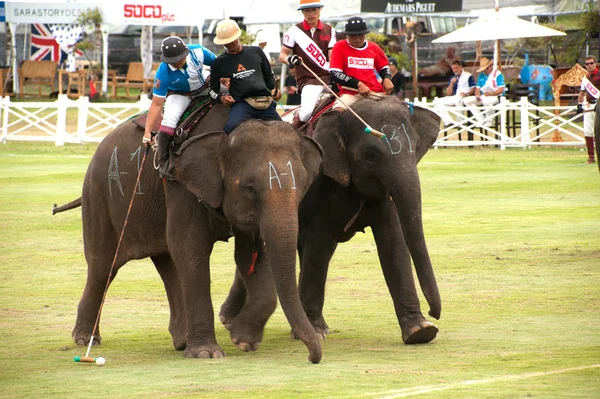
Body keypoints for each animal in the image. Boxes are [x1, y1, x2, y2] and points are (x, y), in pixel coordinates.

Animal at [55, 104, 326, 366]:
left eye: (303, 186)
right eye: (250, 188)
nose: (312, 358)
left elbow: (251, 254)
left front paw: (242, 340)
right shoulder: (180, 184)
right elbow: (190, 248)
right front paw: (207, 354)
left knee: (167, 263)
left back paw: (181, 339)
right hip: (99, 193)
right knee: (104, 266)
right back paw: (86, 340)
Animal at [220, 96, 440, 346]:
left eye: (415, 147)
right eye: (371, 154)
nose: (434, 313)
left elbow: (393, 243)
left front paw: (421, 331)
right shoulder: (318, 183)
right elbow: (319, 245)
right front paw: (316, 333)